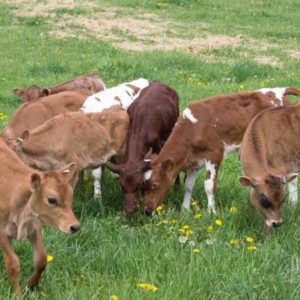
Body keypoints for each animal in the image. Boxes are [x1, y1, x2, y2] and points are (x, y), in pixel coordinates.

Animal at [0, 138, 79, 292]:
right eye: (52, 200)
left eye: (71, 196)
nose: (75, 227)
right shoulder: (2, 231)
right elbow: (13, 264)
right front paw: (17, 293)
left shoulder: (34, 226)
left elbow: (41, 260)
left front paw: (30, 286)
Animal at [144, 85, 300, 214]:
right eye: (142, 185)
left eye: (155, 184)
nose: (147, 211)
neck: (193, 128)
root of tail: (279, 91)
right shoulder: (194, 161)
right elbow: (188, 185)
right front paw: (185, 210)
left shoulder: (214, 155)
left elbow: (209, 186)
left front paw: (211, 212)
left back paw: (292, 205)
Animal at [239, 104, 300, 233]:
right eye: (264, 200)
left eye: (282, 199)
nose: (277, 223)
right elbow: (250, 198)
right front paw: (249, 218)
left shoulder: (279, 168)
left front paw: (264, 235)